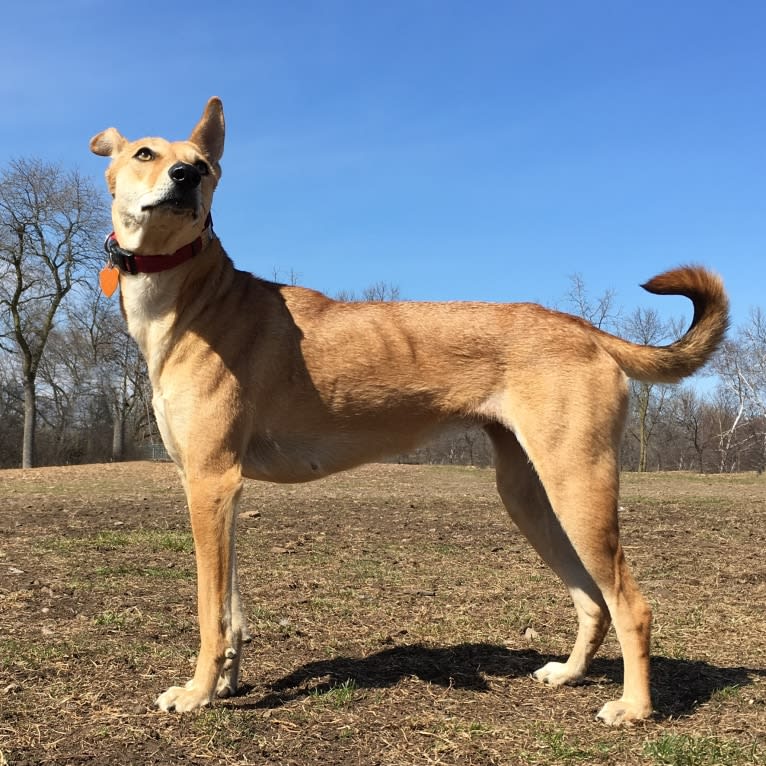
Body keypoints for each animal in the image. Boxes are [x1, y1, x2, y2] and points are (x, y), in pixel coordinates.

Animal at [91, 99, 732, 728]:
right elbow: (232, 610)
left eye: (202, 164)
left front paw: (197, 692)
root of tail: (584, 329)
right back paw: (569, 673)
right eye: (145, 153)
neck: (192, 299)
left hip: (578, 488)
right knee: (592, 600)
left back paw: (635, 707)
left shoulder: (213, 483)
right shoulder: (211, 487)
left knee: (631, 604)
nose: (185, 177)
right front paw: (224, 684)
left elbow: (209, 611)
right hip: (530, 497)